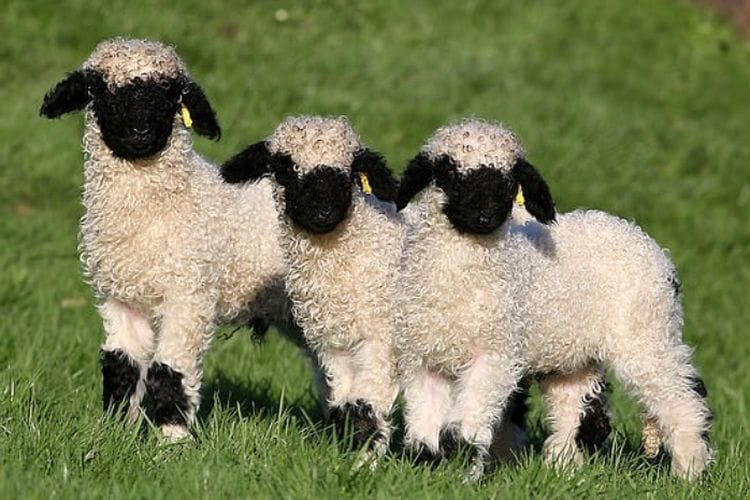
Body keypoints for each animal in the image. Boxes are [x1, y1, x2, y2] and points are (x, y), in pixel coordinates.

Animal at [39, 37, 293, 440]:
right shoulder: (121, 298)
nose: (140, 132)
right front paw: (116, 432)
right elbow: (122, 367)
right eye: (100, 89)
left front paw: (173, 438)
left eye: (170, 94)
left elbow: (170, 370)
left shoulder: (189, 296)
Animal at [221, 115, 402, 460]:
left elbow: (367, 406)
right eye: (284, 167)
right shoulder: (333, 347)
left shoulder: (380, 342)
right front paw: (352, 457)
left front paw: (365, 462)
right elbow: (347, 407)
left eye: (350, 170)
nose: (323, 212)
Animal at [394, 119, 713, 480]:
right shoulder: (422, 359)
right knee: (572, 404)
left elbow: (467, 424)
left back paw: (689, 468)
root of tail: (653, 249)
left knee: (679, 395)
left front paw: (464, 472)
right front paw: (428, 471)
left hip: (646, 332)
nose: (485, 215)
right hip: (574, 354)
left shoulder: (495, 354)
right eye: (447, 172)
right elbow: (424, 429)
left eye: (509, 180)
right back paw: (564, 467)